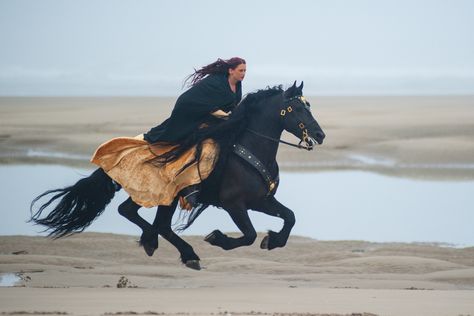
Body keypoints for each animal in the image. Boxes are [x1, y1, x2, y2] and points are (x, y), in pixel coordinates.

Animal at [30, 81, 326, 270]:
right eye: (299, 109)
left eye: (309, 105)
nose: (320, 135)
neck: (251, 149)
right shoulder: (234, 204)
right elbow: (250, 234)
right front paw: (218, 238)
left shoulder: (261, 201)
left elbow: (289, 217)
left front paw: (273, 240)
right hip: (166, 195)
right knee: (143, 217)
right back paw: (173, 248)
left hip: (165, 197)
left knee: (141, 216)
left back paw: (166, 246)